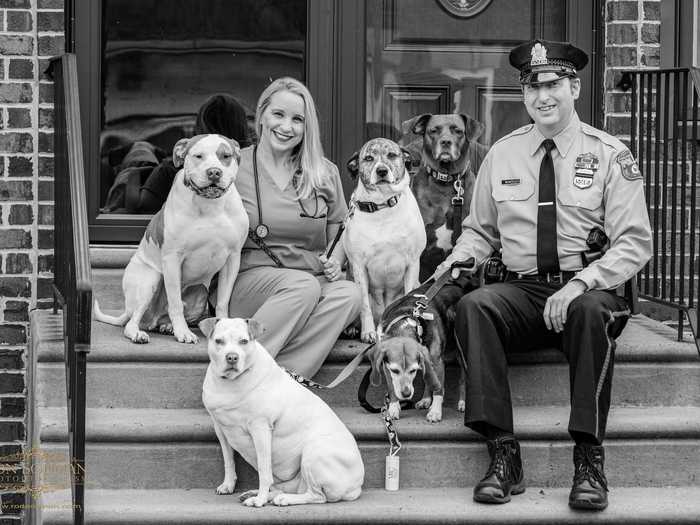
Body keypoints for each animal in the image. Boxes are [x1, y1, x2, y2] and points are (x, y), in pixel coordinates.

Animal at [91, 133, 247, 342]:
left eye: (226, 156)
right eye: (198, 156)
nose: (214, 172)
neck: (210, 205)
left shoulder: (232, 259)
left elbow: (222, 302)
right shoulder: (172, 258)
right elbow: (175, 303)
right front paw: (183, 333)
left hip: (200, 292)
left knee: (163, 317)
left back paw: (167, 326)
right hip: (150, 280)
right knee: (133, 321)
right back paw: (140, 333)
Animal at [200, 318, 364, 506]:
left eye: (244, 341)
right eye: (219, 341)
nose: (232, 357)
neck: (230, 383)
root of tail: (357, 487)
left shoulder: (260, 429)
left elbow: (264, 470)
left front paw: (260, 500)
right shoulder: (220, 429)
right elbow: (228, 460)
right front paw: (228, 485)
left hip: (314, 453)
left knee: (317, 496)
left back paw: (281, 499)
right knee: (286, 489)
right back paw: (257, 494)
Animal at [344, 138, 426, 344]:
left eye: (392, 155)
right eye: (368, 158)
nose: (381, 170)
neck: (382, 206)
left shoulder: (412, 263)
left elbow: (409, 296)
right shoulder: (358, 266)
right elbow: (364, 305)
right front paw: (368, 332)